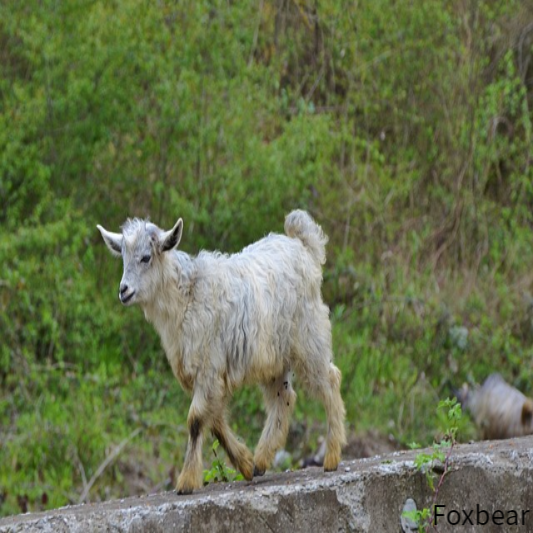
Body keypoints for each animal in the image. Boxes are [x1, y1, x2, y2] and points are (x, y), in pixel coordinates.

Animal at [96, 210, 344, 492]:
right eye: (123, 257)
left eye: (146, 257)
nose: (123, 290)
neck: (187, 296)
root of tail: (303, 246)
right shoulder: (205, 373)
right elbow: (213, 420)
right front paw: (244, 463)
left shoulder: (209, 366)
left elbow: (195, 420)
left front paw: (187, 480)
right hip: (273, 356)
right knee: (284, 397)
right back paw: (260, 460)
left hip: (309, 336)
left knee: (329, 380)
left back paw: (332, 456)